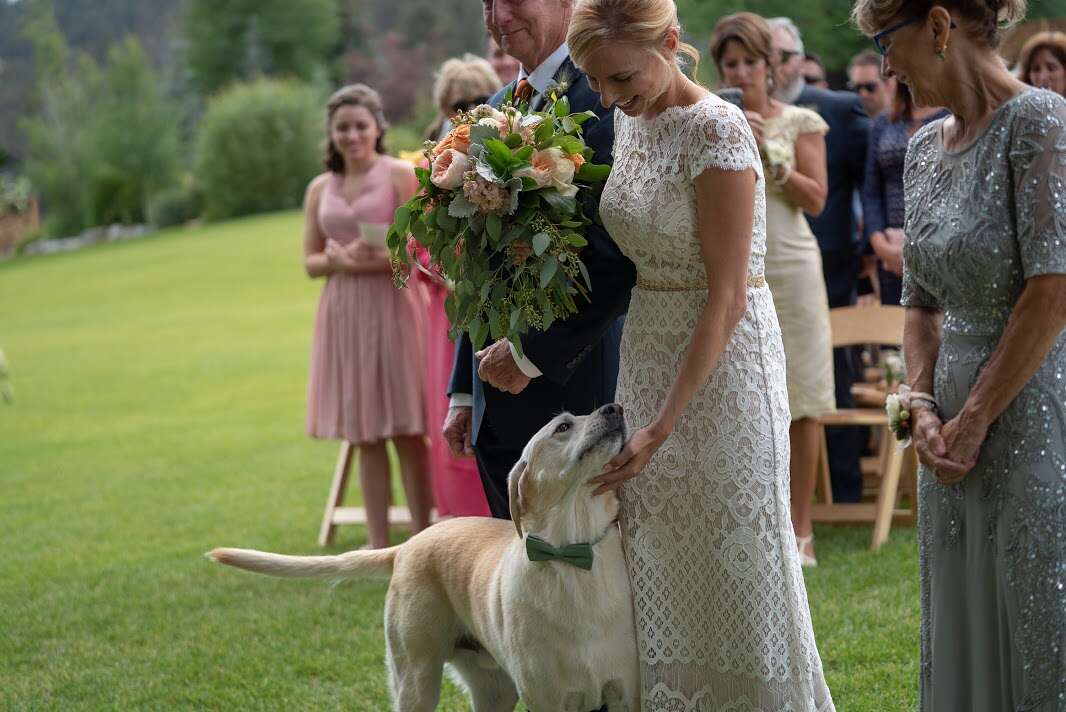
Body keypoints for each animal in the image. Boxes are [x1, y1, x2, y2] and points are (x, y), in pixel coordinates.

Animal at [212, 402, 635, 712]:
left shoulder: (626, 691)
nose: (615, 407)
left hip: (493, 689)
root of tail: (410, 543)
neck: (571, 555)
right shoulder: (546, 697)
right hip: (417, 678)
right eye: (562, 427)